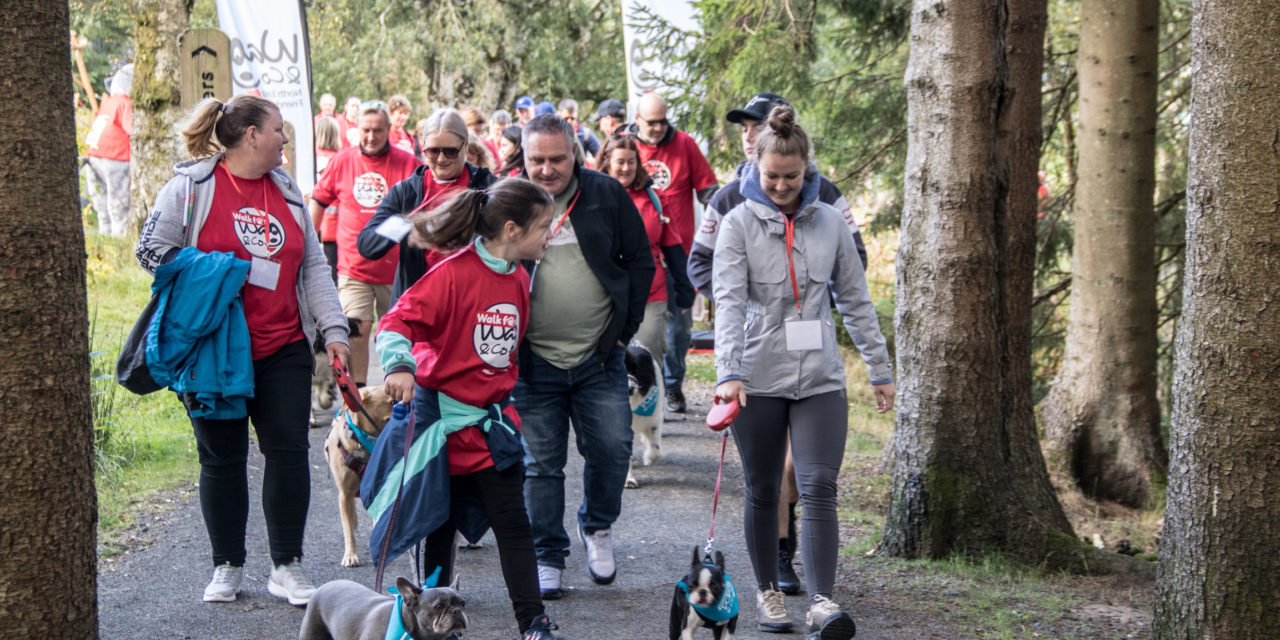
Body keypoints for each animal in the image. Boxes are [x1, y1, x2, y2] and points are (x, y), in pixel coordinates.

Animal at [624, 345, 665, 483]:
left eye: (636, 369)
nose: (629, 389)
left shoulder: (653, 420)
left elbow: (656, 449)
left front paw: (649, 458)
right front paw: (629, 479)